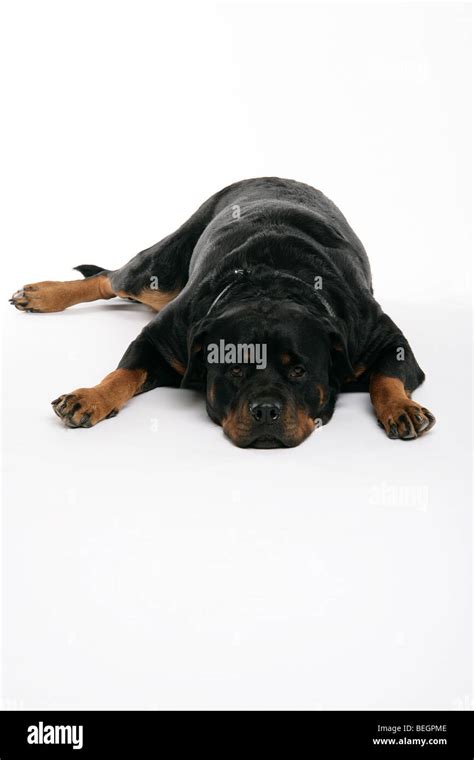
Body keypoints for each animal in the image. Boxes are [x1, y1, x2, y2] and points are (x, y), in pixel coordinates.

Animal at [11, 179, 436, 448]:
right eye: (234, 369)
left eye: (299, 371)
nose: (265, 410)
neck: (272, 282)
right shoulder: (161, 337)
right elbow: (123, 373)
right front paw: (91, 398)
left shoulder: (385, 339)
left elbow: (386, 376)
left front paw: (401, 408)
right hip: (159, 273)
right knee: (110, 278)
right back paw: (41, 295)